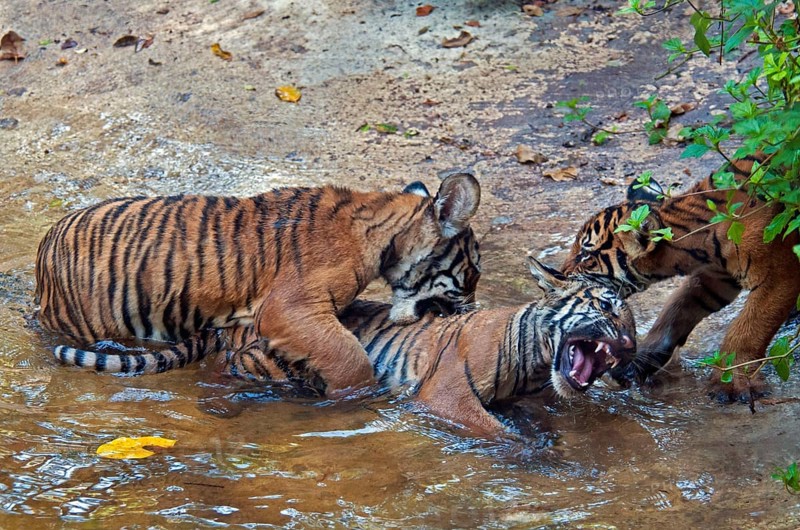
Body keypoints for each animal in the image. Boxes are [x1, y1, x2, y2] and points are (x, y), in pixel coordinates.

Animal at [35, 173, 481, 394]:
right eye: (474, 268)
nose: (474, 308)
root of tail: (46, 246)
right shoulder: (291, 308)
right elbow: (350, 359)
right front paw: (354, 399)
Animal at [53, 257, 636, 437]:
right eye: (609, 307)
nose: (631, 347)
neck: (536, 360)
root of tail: (229, 323)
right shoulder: (445, 394)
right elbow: (497, 432)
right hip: (265, 363)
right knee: (224, 375)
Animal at [561, 155, 800, 400]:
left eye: (585, 254)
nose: (560, 274)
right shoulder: (714, 279)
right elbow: (673, 313)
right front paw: (635, 364)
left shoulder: (779, 274)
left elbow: (749, 329)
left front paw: (730, 383)